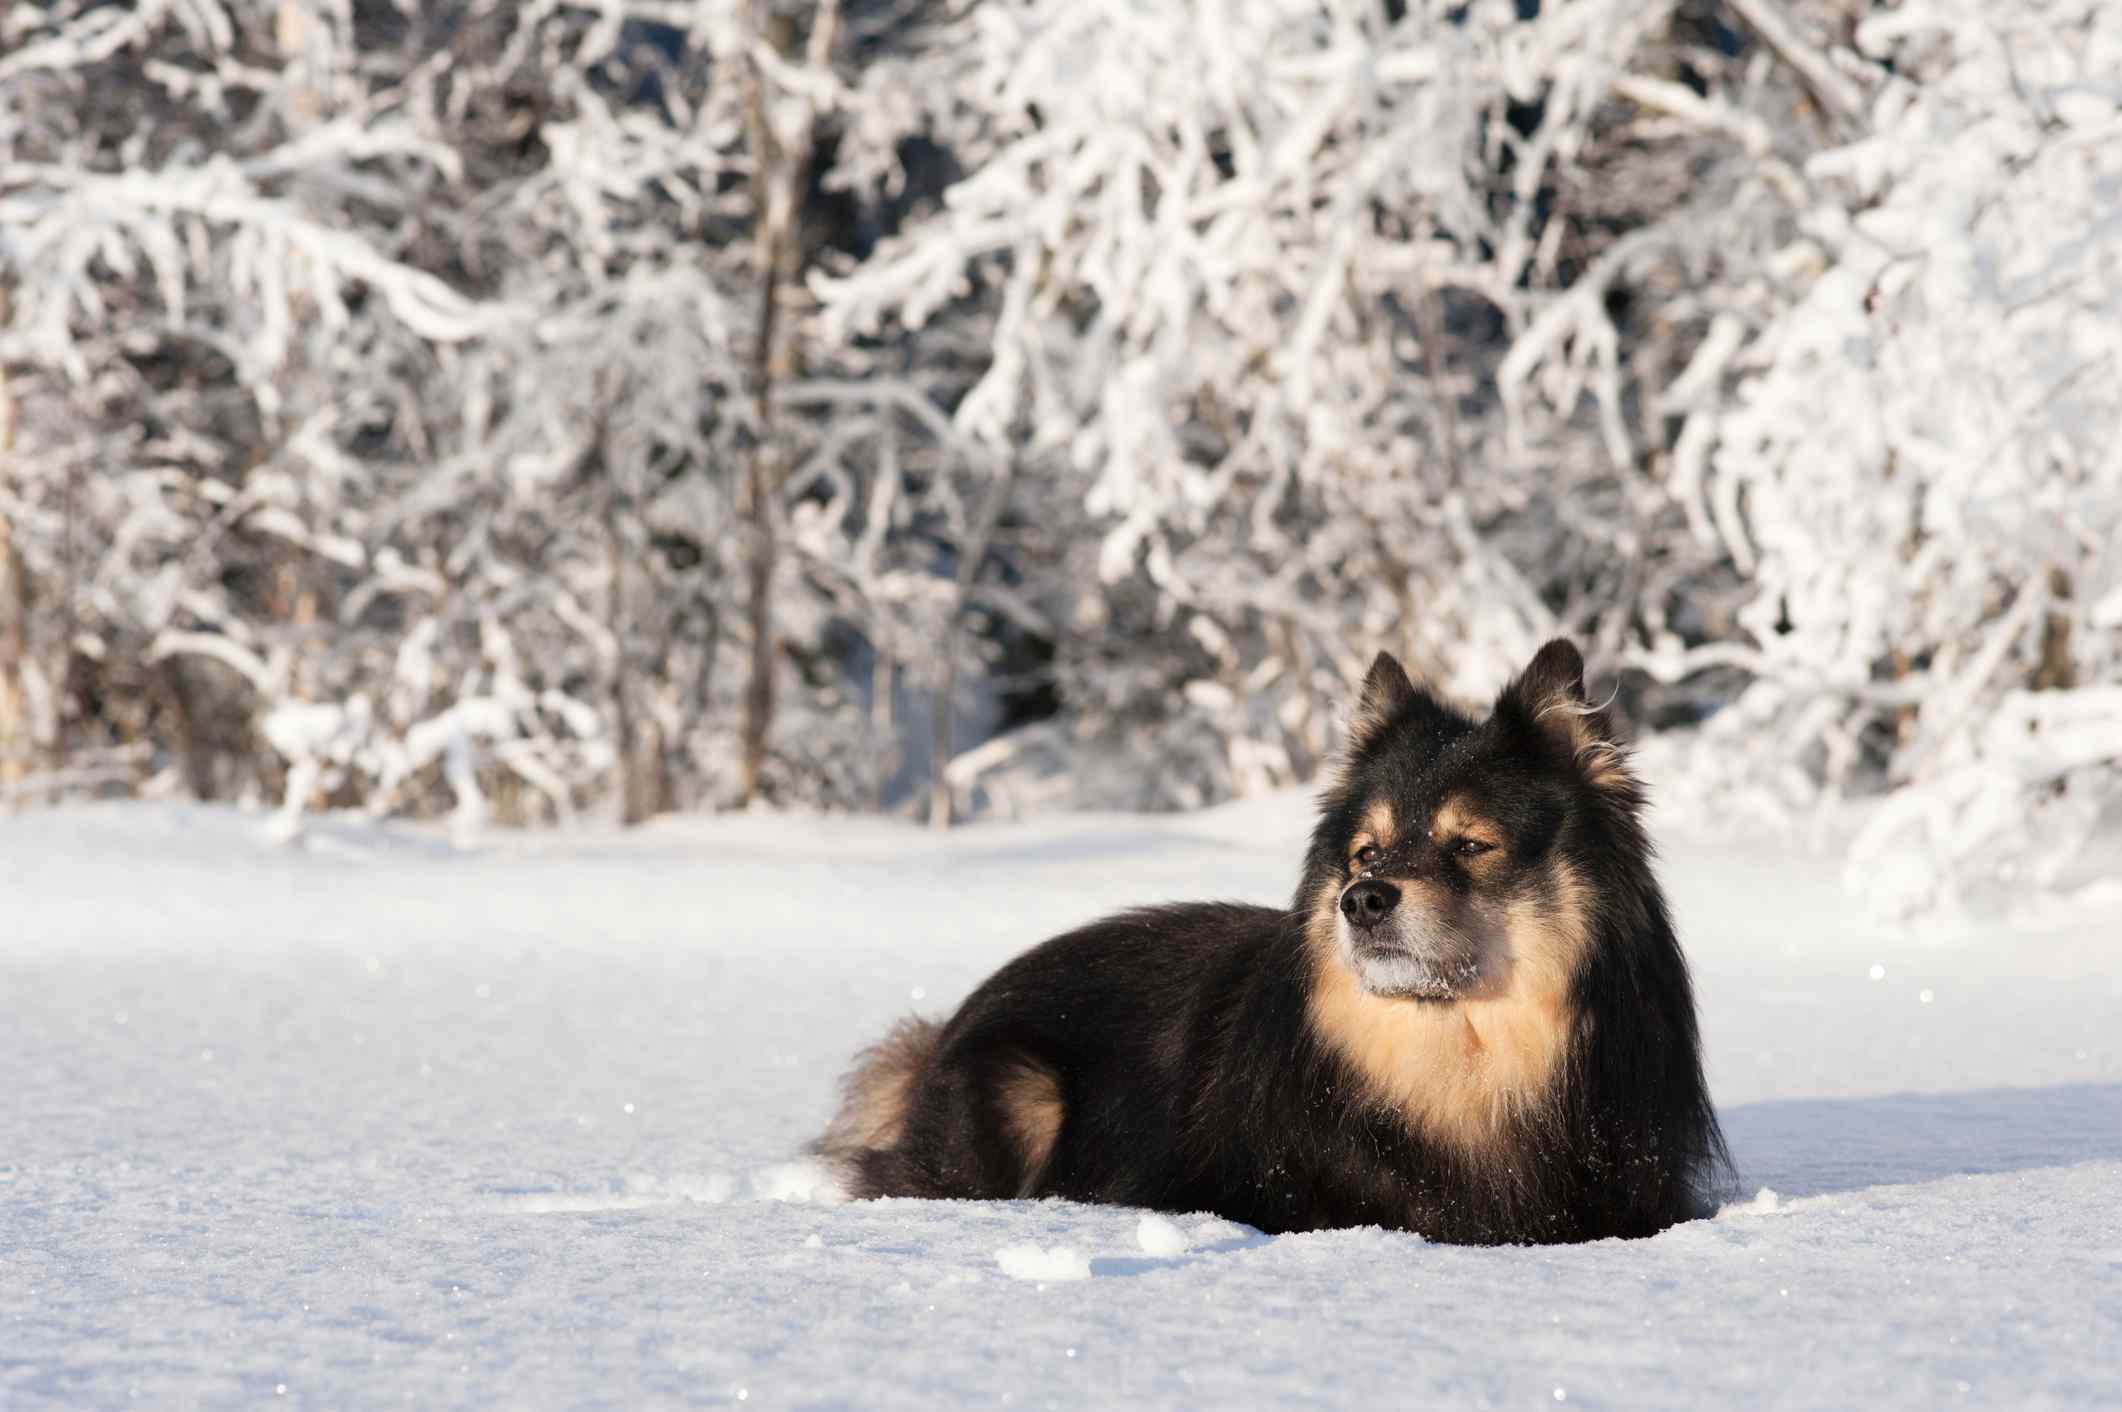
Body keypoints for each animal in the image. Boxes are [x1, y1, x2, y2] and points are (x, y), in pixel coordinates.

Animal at [810, 641, 1723, 1248]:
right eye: (1365, 853)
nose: (1363, 900)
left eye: (1471, 846)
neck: (1458, 1070)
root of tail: (939, 1036)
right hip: (1022, 1085)